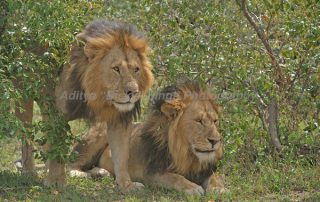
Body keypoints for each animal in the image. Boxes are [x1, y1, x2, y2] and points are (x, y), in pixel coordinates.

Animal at [15, 19, 153, 191]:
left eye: (136, 69)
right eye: (116, 69)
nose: (133, 92)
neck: (98, 96)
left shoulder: (119, 118)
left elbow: (121, 155)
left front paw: (126, 185)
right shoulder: (59, 116)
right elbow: (58, 148)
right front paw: (55, 182)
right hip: (23, 95)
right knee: (26, 136)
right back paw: (29, 171)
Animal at [70, 81, 225, 196]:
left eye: (215, 121)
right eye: (198, 121)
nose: (216, 141)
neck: (186, 154)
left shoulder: (205, 169)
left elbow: (215, 177)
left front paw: (219, 189)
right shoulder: (150, 173)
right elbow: (175, 177)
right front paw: (193, 187)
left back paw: (102, 172)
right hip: (96, 139)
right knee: (71, 165)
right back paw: (84, 174)